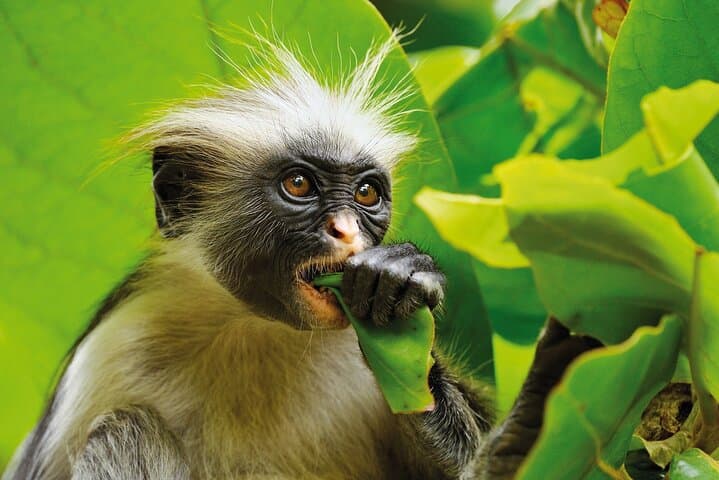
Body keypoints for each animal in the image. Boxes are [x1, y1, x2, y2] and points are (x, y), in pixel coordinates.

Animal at [3, 32, 599, 480]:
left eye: (366, 193)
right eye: (299, 185)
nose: (347, 232)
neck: (255, 327)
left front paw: (400, 282)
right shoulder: (108, 352)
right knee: (124, 430)